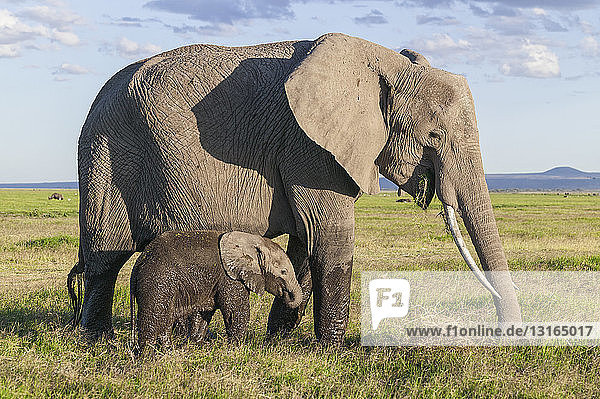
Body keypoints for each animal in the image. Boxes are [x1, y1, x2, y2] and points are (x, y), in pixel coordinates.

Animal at [129, 230, 302, 352]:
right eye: (284, 272)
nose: (288, 296)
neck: (253, 241)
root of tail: (138, 264)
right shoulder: (230, 277)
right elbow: (236, 312)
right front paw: (237, 349)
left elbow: (203, 313)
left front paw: (195, 345)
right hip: (156, 283)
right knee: (153, 318)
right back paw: (148, 358)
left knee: (166, 320)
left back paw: (168, 352)